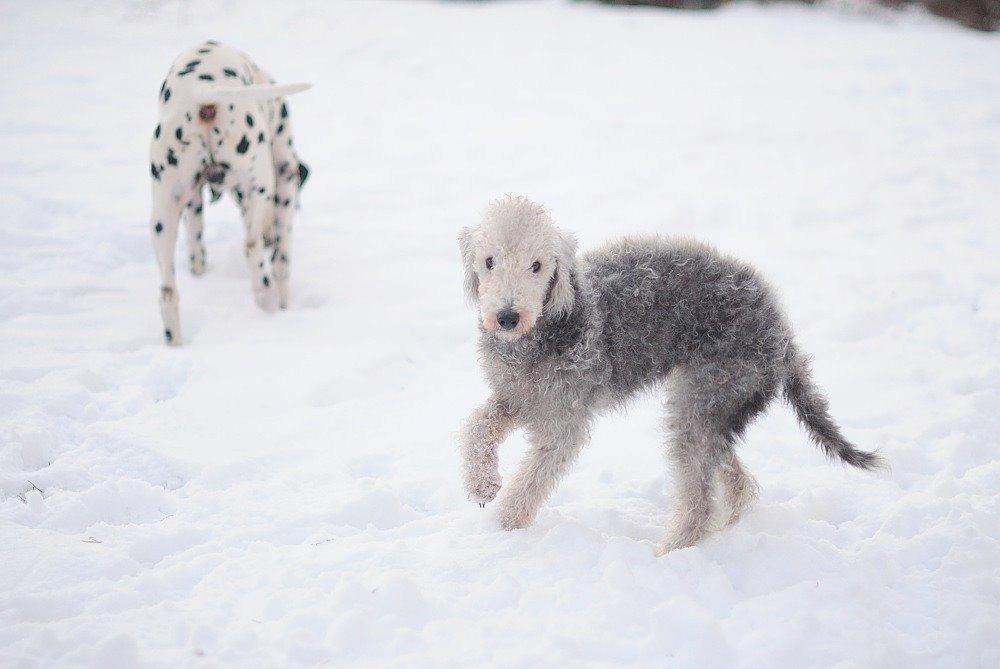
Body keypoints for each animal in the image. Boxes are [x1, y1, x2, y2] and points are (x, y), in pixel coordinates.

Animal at [148, 40, 308, 344]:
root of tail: (203, 92)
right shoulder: (285, 177)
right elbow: (282, 262)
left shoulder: (192, 202)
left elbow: (197, 252)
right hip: (260, 183)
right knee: (253, 252)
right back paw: (267, 305)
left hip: (164, 215)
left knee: (166, 293)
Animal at [456, 193, 884, 552]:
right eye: (490, 261)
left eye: (538, 266)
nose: (507, 317)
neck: (546, 327)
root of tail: (782, 334)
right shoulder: (517, 396)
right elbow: (475, 427)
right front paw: (483, 485)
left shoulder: (563, 423)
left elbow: (532, 479)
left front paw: (505, 530)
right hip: (716, 407)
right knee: (736, 482)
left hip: (705, 394)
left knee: (699, 501)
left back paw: (672, 553)